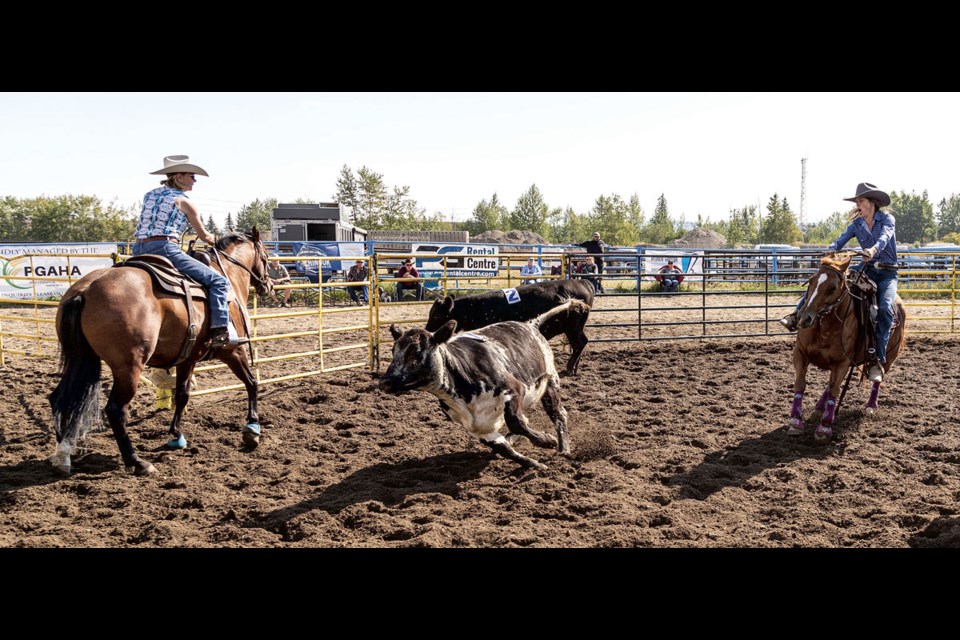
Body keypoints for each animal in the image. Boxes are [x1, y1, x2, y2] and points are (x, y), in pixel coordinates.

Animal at [49, 229, 274, 476]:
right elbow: (251, 382)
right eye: (265, 258)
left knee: (59, 398)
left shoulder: (188, 358)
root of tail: (85, 290)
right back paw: (137, 461)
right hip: (128, 368)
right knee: (115, 411)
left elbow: (182, 395)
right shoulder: (232, 350)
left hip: (80, 358)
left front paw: (176, 435)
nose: (269, 286)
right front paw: (252, 427)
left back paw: (63, 456)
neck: (227, 274)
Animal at [378, 300, 588, 470]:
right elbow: (504, 448)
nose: (385, 381)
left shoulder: (514, 389)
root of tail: (530, 325)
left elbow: (515, 421)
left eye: (416, 352)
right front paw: (534, 464)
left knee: (559, 415)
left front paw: (546, 440)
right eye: (394, 351)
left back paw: (563, 448)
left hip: (550, 381)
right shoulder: (476, 427)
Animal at [784, 252, 904, 442]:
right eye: (810, 281)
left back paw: (870, 405)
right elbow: (800, 384)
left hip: (889, 357)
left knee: (877, 377)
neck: (825, 327)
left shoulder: (841, 363)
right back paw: (818, 408)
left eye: (833, 287)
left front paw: (824, 428)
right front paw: (795, 421)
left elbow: (835, 390)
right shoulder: (800, 354)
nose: (804, 318)